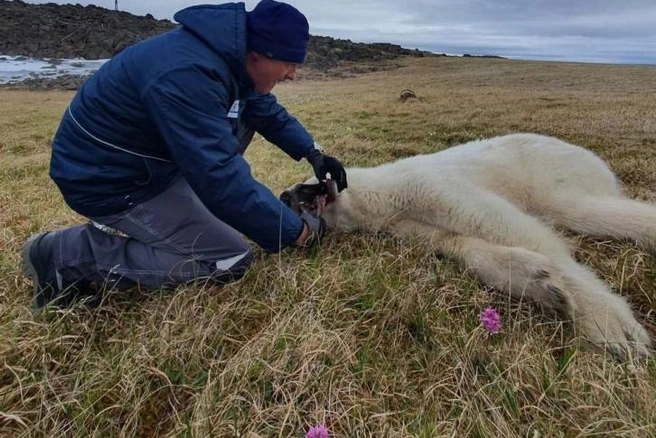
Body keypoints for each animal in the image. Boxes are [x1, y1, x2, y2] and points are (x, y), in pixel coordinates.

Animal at [282, 134, 656, 360]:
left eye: (304, 185)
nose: (285, 196)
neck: (379, 195)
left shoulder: (424, 186)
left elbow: (500, 223)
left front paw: (609, 325)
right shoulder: (405, 223)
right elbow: (457, 244)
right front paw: (540, 283)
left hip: (553, 172)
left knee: (579, 208)